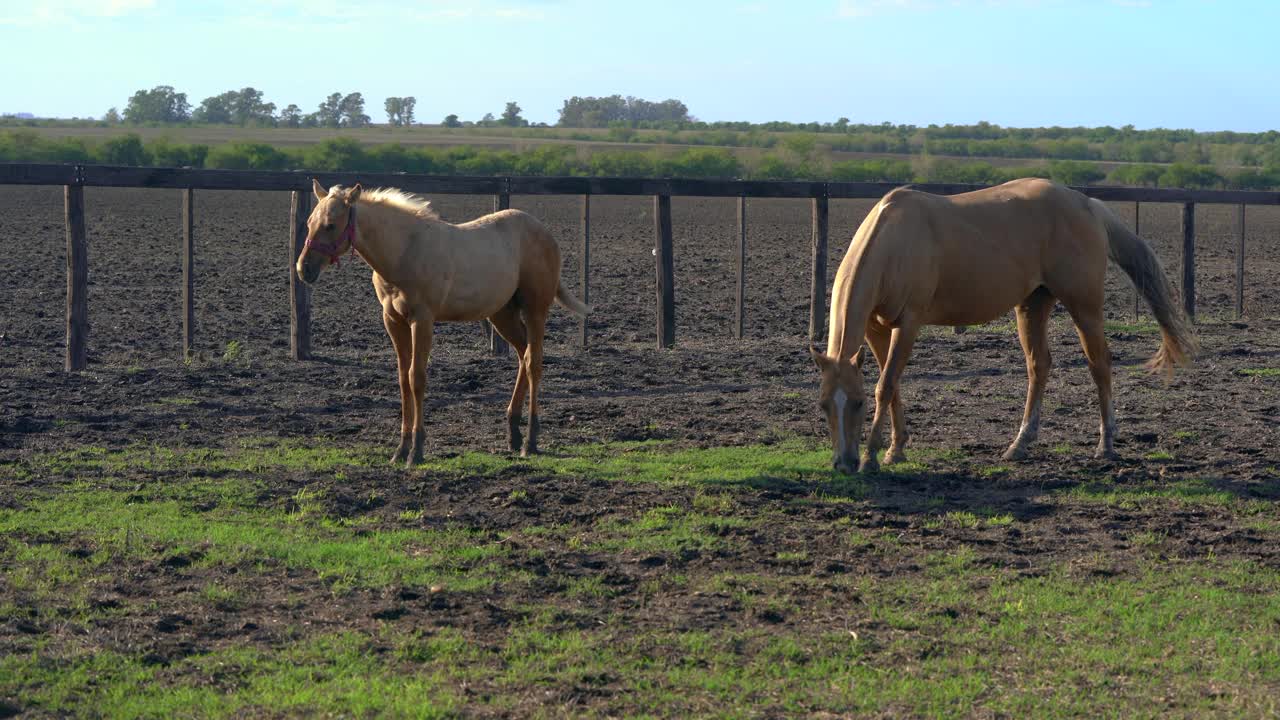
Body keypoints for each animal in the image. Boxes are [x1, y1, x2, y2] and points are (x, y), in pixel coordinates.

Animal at [298, 179, 588, 466]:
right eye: (309, 222)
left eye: (330, 225)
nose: (303, 269)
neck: (404, 252)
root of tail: (545, 233)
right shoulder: (393, 321)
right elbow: (403, 379)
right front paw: (401, 449)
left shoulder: (423, 320)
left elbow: (416, 377)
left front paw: (416, 450)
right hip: (502, 314)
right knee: (523, 355)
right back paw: (513, 434)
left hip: (535, 310)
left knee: (533, 363)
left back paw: (530, 441)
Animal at [814, 176, 1192, 474]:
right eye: (823, 405)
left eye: (858, 403)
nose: (844, 464)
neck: (894, 240)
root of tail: (1087, 204)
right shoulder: (876, 327)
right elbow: (890, 386)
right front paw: (896, 449)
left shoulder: (908, 324)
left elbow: (886, 385)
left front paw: (873, 457)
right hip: (1032, 305)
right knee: (1039, 365)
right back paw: (1020, 443)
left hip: (1083, 306)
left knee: (1099, 363)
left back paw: (1106, 445)